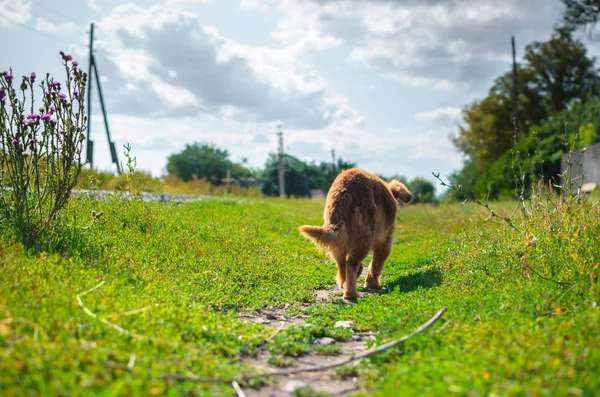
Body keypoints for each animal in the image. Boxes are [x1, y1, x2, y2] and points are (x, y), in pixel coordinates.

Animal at [298, 168, 410, 300]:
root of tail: (344, 190)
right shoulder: (385, 242)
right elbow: (376, 265)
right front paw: (372, 283)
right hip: (365, 239)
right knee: (351, 264)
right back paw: (351, 294)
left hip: (338, 243)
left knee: (342, 265)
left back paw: (343, 283)